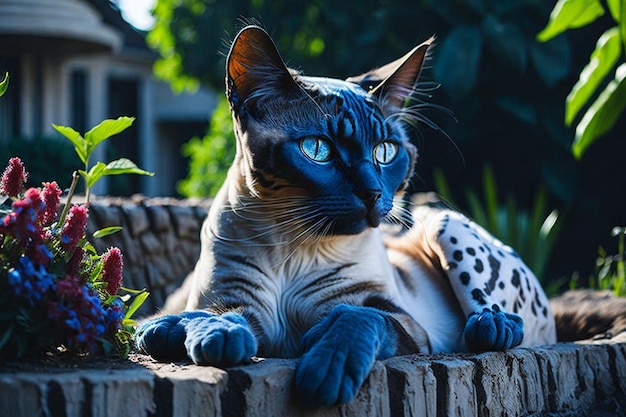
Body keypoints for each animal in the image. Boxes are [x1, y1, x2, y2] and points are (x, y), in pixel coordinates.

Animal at [134, 23, 552, 406]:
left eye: (385, 151)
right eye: (318, 150)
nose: (372, 194)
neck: (291, 248)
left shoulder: (398, 319)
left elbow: (356, 317)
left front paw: (325, 371)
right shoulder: (242, 305)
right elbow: (224, 318)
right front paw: (215, 336)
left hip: (441, 223)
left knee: (501, 323)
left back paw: (492, 325)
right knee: (169, 317)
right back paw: (164, 328)